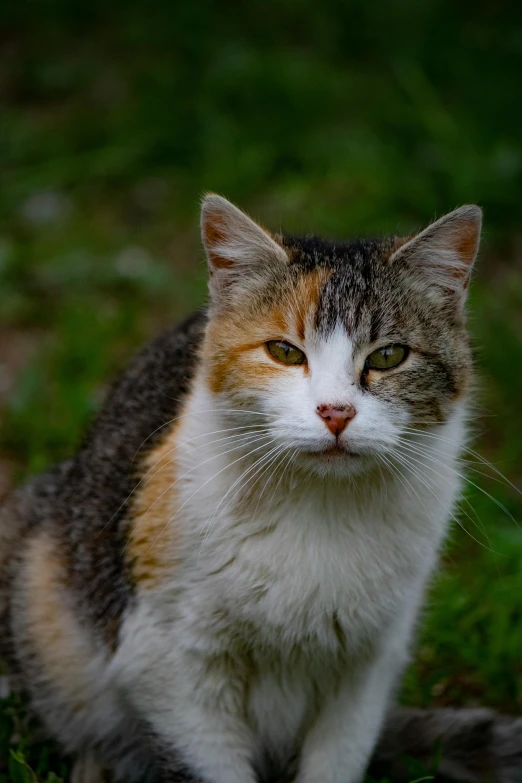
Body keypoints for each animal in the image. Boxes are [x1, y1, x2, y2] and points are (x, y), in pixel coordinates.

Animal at [1, 196, 520, 783]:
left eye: (389, 356)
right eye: (284, 352)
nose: (335, 412)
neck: (319, 510)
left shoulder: (368, 669)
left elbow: (336, 759)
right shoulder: (168, 662)